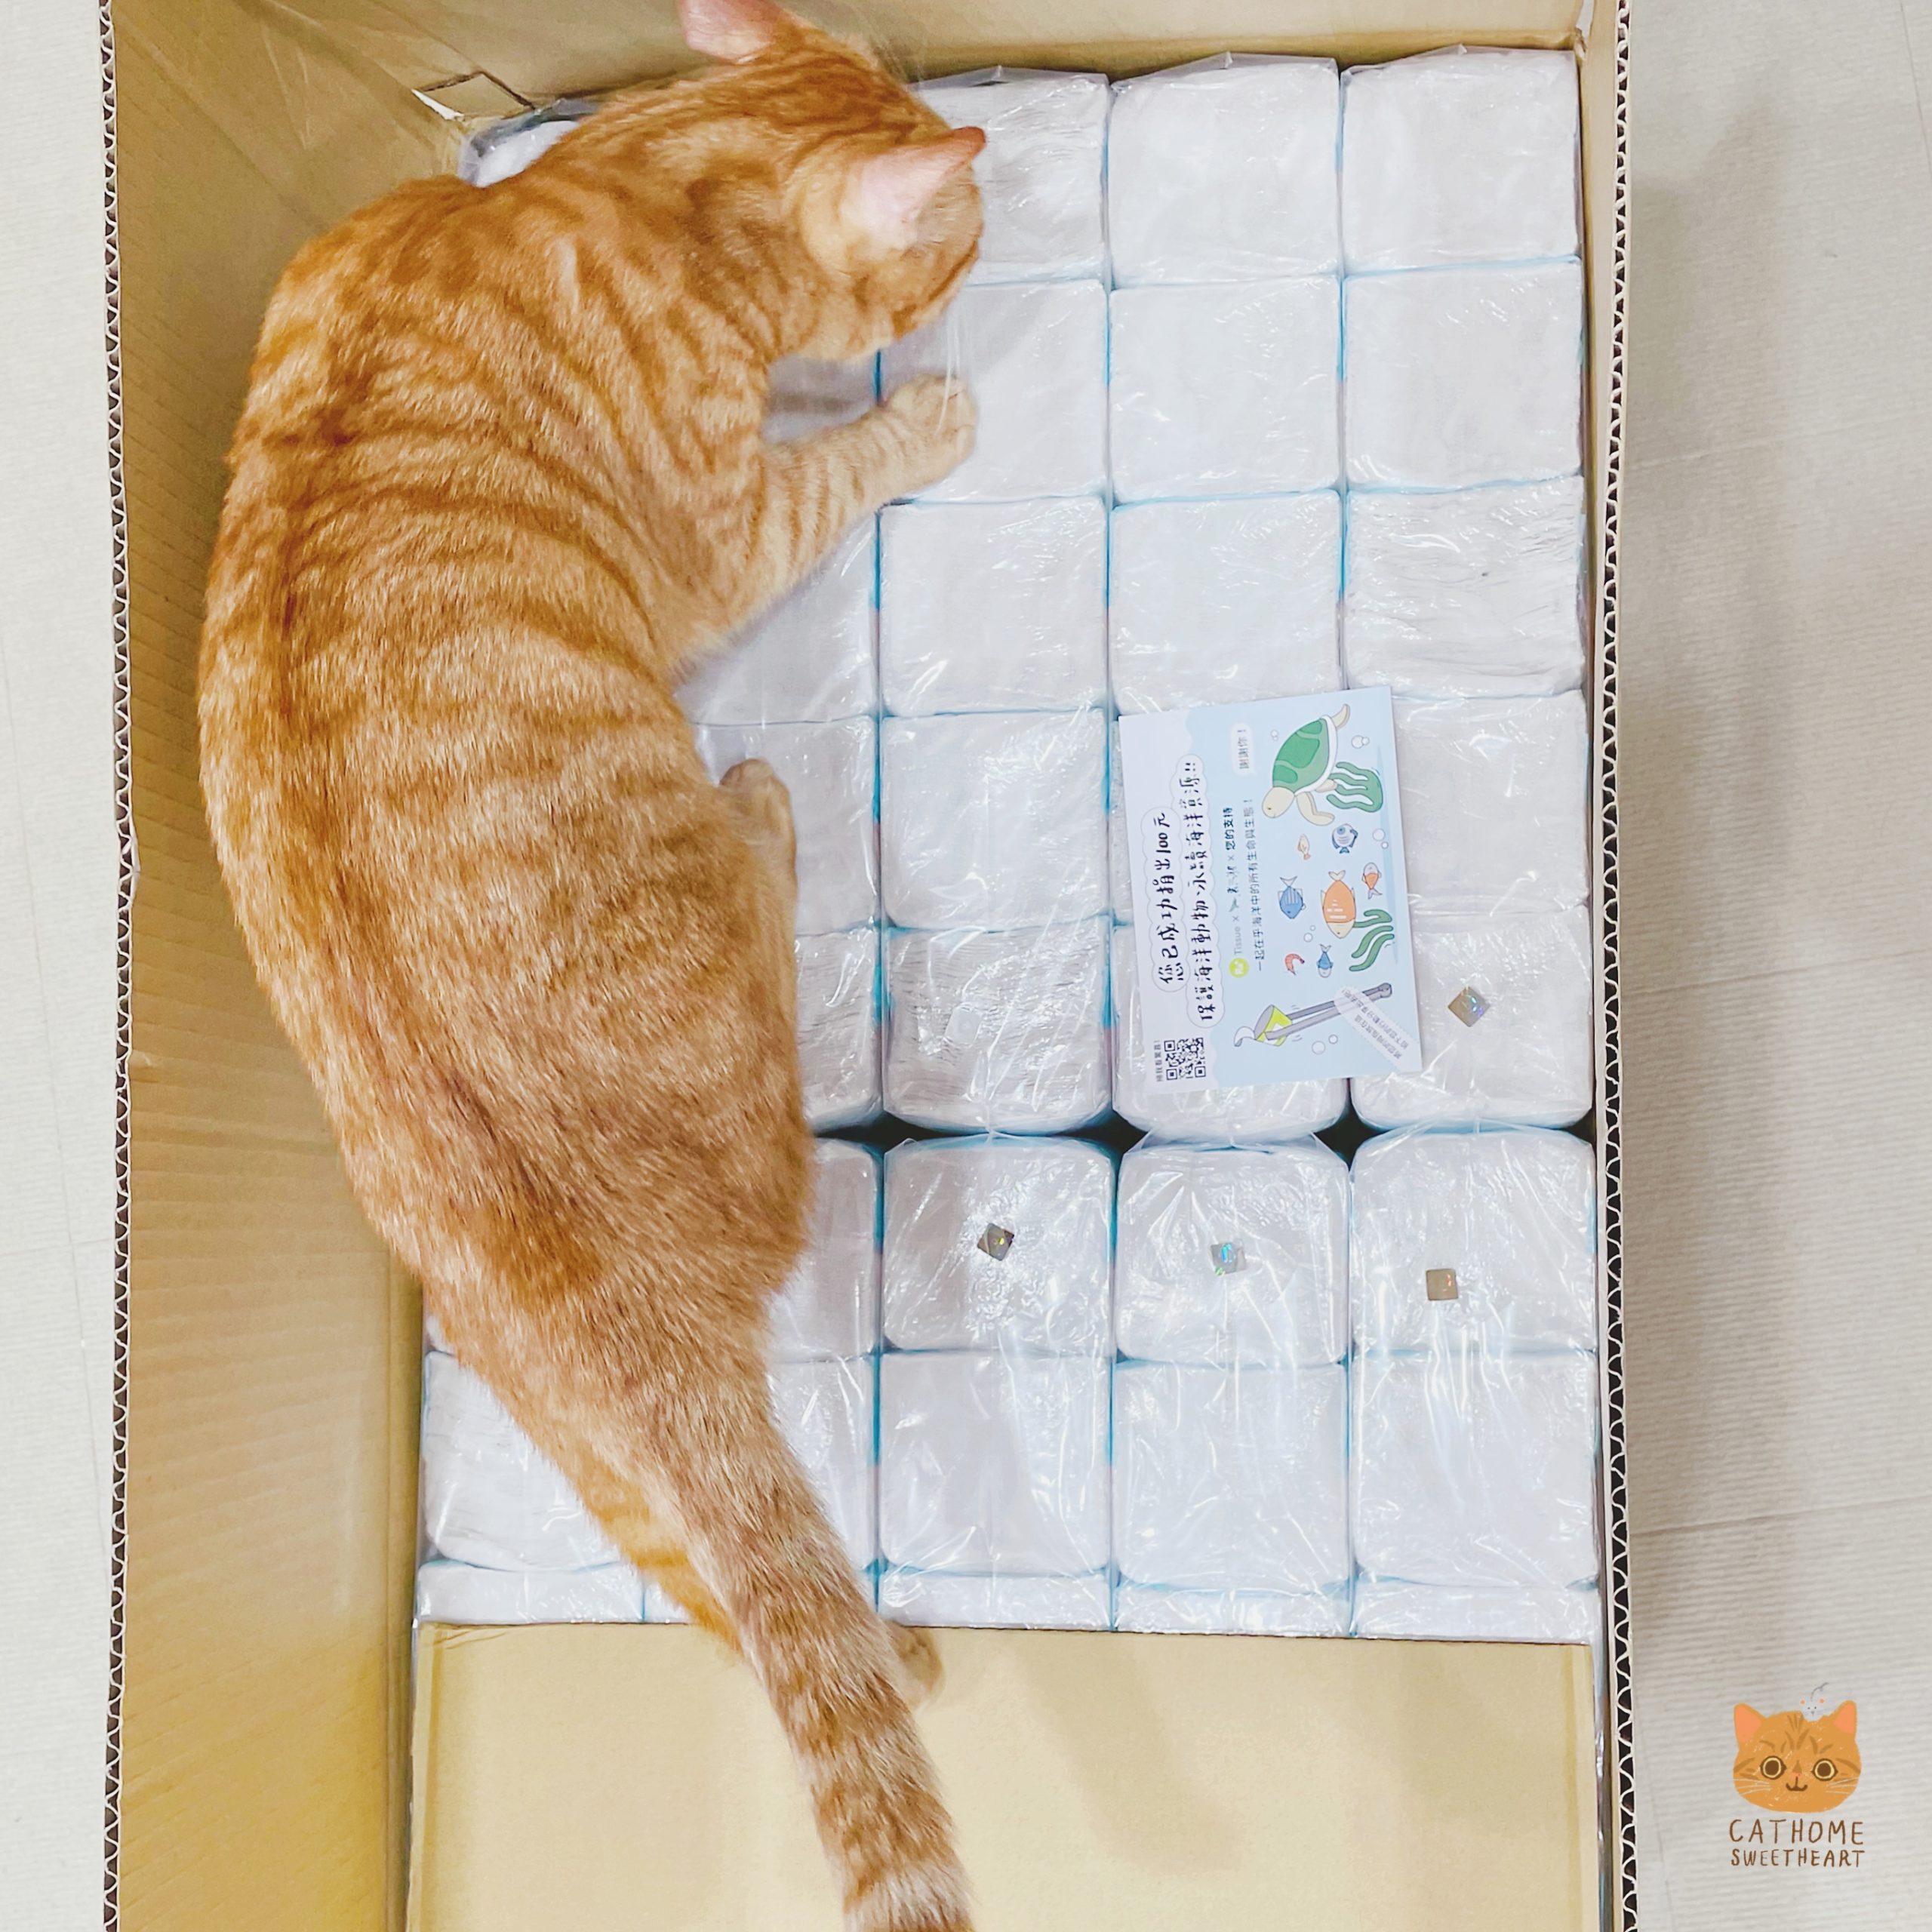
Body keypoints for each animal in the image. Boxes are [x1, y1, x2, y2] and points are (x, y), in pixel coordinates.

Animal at [197, 1, 985, 1925]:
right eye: (955, 234)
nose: (988, 244)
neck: (626, 177)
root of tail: (619, 1304)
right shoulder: (729, 535)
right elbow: (829, 468)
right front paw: (911, 414)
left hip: (561, 1423)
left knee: (714, 1586)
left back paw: (903, 1652)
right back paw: (763, 802)